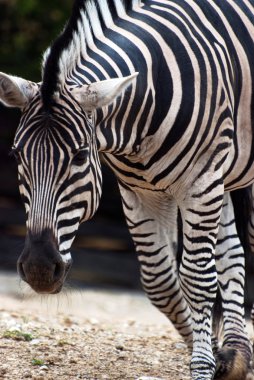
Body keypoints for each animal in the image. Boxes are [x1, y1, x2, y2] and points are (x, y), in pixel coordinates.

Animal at [0, 0, 254, 378]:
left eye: (79, 156)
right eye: (16, 154)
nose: (39, 270)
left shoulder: (199, 181)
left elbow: (196, 278)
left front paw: (202, 365)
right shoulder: (141, 193)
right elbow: (160, 281)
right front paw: (209, 352)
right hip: (221, 176)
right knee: (232, 253)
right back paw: (237, 354)